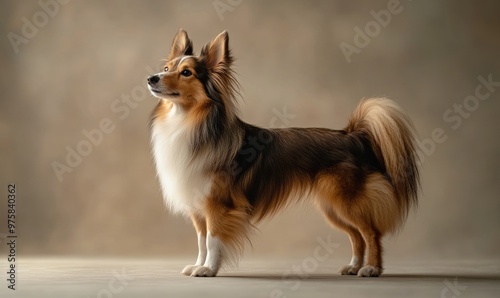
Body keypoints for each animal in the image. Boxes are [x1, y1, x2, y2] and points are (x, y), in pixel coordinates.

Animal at [146, 29, 420, 278]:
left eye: (186, 73)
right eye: (167, 67)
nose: (151, 78)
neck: (188, 121)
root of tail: (352, 135)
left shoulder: (218, 206)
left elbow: (213, 240)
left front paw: (208, 269)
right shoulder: (198, 208)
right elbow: (201, 241)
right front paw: (198, 265)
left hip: (347, 201)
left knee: (371, 232)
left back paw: (371, 268)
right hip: (333, 207)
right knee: (357, 235)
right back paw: (353, 266)